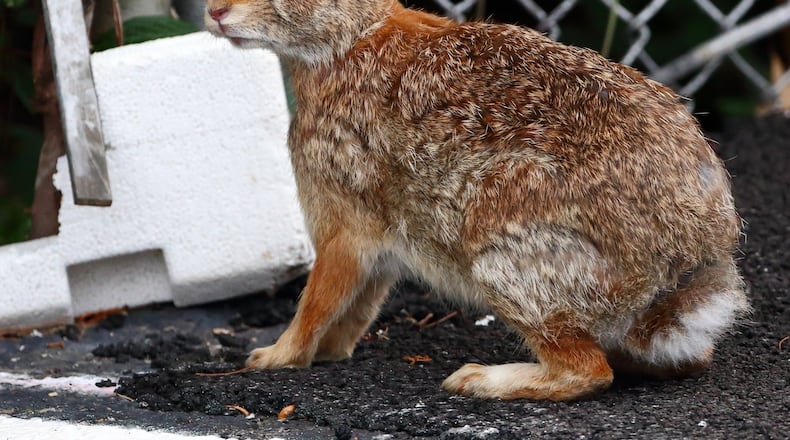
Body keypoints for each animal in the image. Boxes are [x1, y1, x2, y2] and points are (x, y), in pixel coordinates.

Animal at [204, 0, 750, 401]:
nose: (214, 10)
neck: (350, 37)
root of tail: (681, 264)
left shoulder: (346, 224)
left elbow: (319, 298)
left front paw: (276, 357)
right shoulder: (382, 239)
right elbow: (357, 305)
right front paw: (330, 354)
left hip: (502, 253)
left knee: (585, 371)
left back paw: (480, 379)